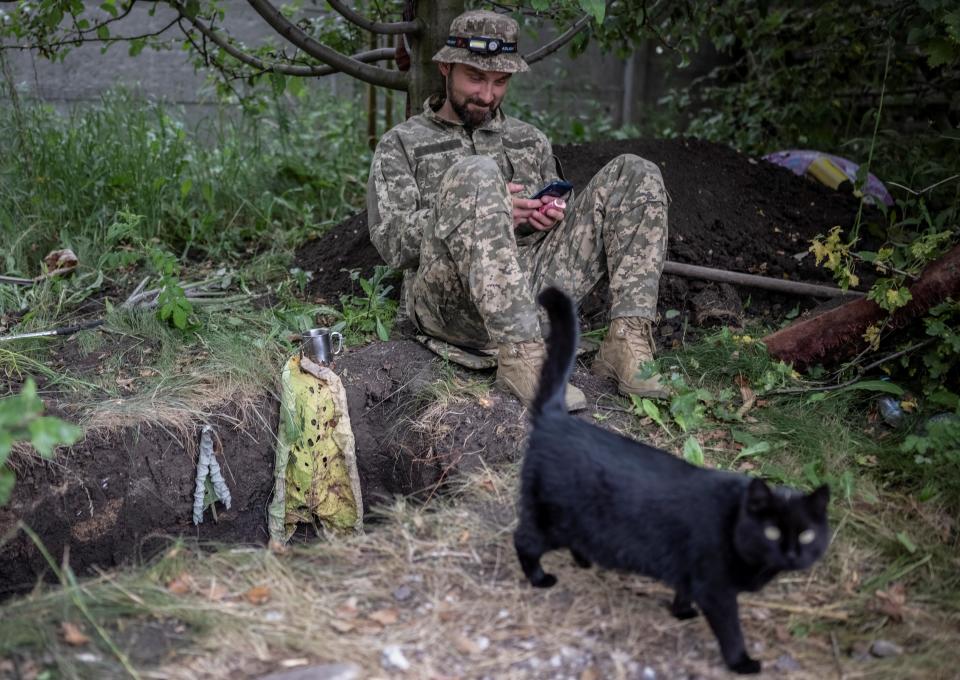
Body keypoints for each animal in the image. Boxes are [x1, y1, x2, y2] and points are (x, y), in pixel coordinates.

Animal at [512, 286, 828, 676]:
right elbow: (730, 630)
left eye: (807, 534)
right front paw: (742, 663)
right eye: (771, 531)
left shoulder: (690, 571)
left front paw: (681, 612)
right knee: (525, 540)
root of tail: (556, 416)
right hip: (550, 515)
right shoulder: (716, 588)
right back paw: (540, 579)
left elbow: (683, 590)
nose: (792, 552)